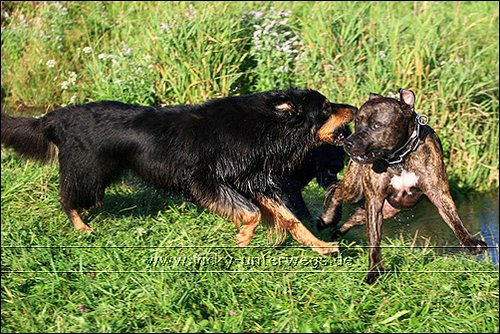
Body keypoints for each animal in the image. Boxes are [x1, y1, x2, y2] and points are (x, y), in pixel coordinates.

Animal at [2, 88, 356, 253]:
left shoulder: (254, 181)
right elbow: (251, 214)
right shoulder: (207, 181)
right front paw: (241, 241)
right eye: (326, 108)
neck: (267, 126)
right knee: (68, 199)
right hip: (89, 172)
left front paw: (322, 246)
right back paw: (82, 227)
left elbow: (291, 220)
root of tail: (54, 118)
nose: (353, 107)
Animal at [318, 89, 486, 284]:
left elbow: (454, 219)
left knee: (357, 213)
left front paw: (470, 242)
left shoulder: (438, 192)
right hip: (355, 190)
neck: (399, 156)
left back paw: (337, 232)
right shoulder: (375, 200)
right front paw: (374, 271)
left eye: (377, 125)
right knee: (337, 191)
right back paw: (328, 218)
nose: (348, 142)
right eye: (357, 121)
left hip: (389, 209)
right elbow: (374, 239)